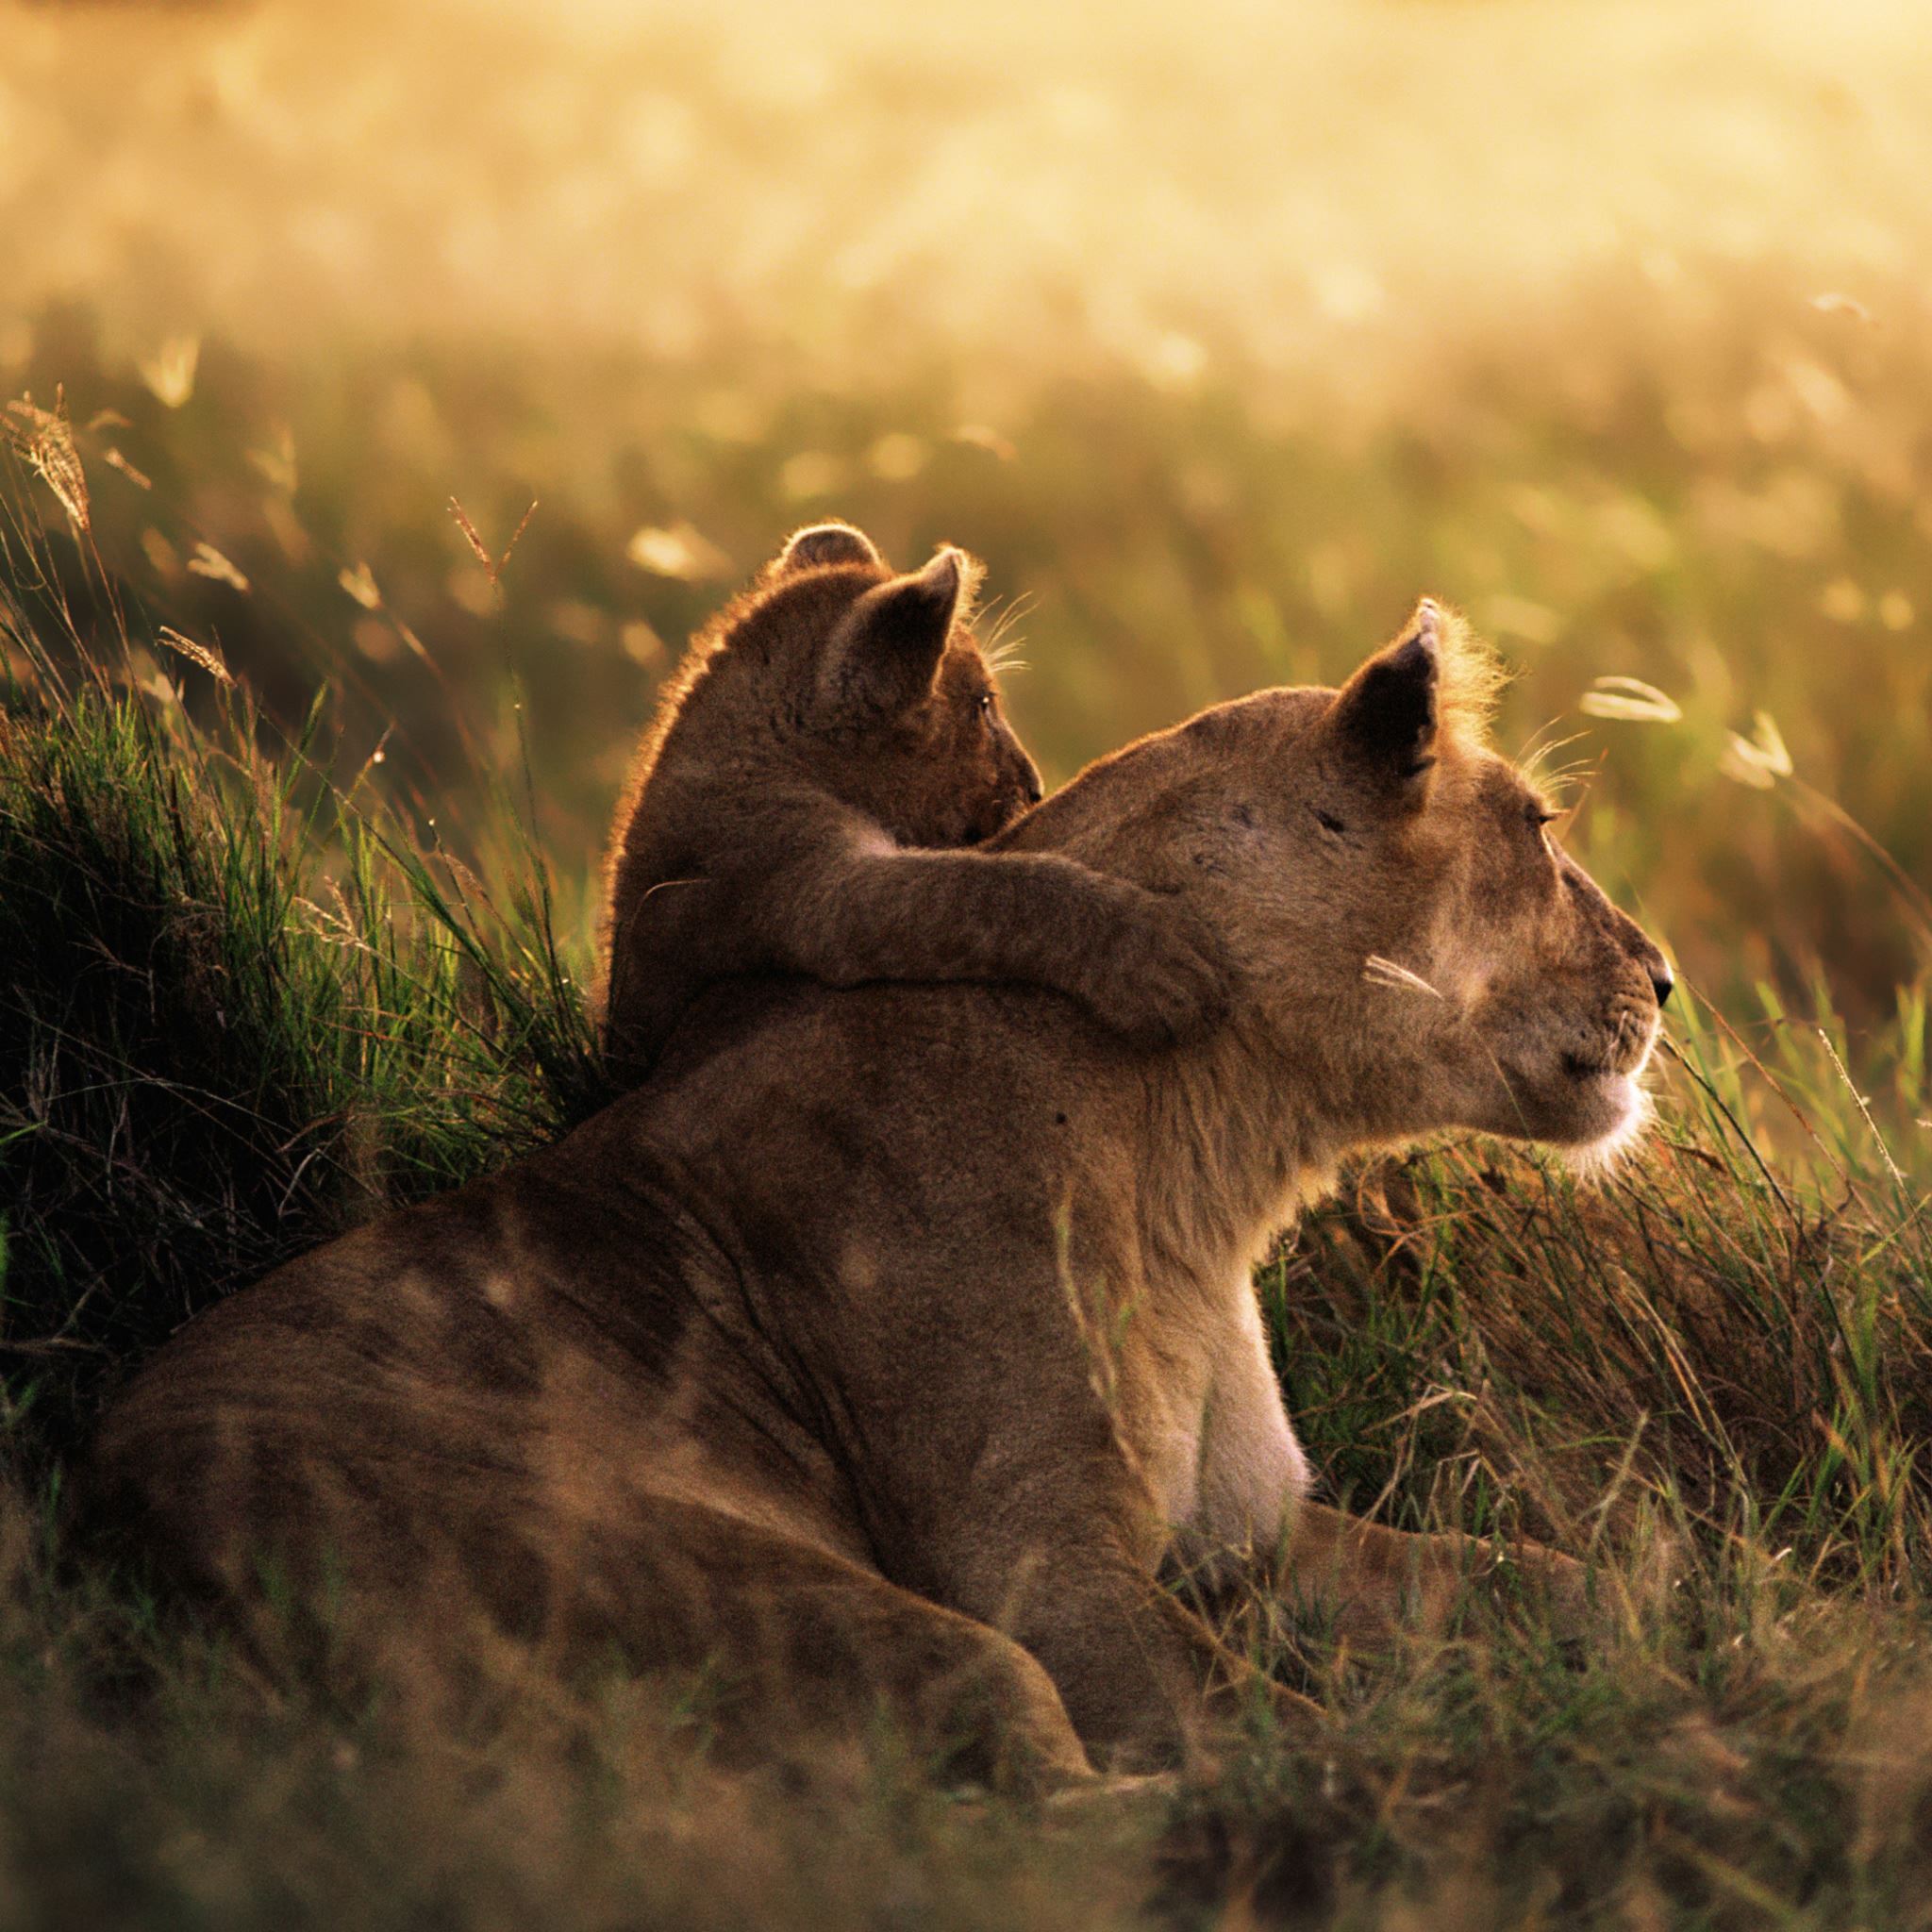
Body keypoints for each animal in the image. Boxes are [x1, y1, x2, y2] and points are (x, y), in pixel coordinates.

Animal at [80, 599, 1672, 1790]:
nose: (1664, 977)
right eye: (1540, 828)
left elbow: (1562, 1578)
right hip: (788, 1597)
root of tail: (111, 1528)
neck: (1210, 1164)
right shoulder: (1038, 1568)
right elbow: (1268, 1733)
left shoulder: (1254, 1537)